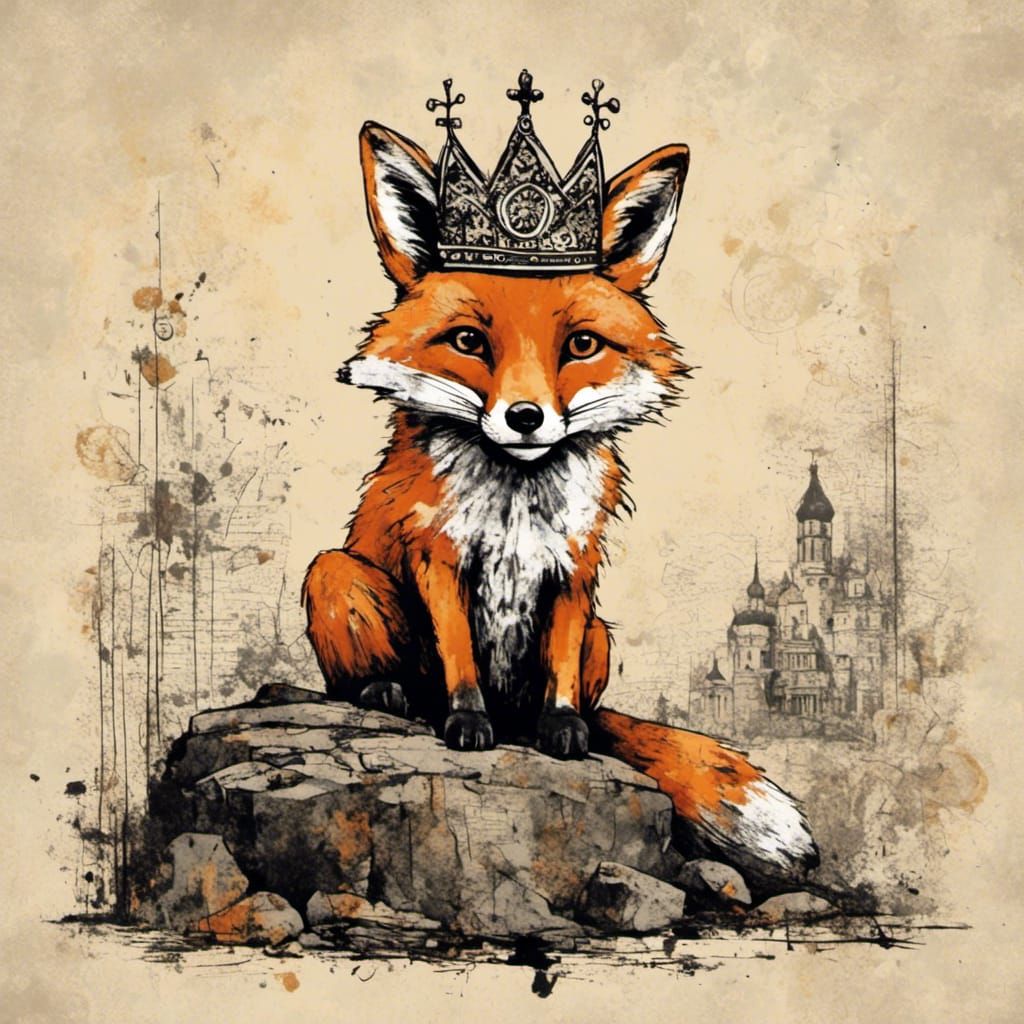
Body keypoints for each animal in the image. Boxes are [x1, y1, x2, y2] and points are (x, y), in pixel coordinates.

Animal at [302, 115, 818, 882]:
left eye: (580, 344)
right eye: (467, 341)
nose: (525, 417)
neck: (517, 503)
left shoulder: (575, 569)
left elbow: (564, 675)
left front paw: (564, 727)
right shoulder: (439, 555)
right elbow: (458, 657)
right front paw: (466, 721)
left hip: (606, 634)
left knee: (584, 703)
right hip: (336, 574)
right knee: (369, 676)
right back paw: (388, 695)